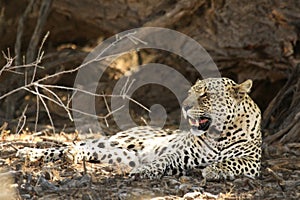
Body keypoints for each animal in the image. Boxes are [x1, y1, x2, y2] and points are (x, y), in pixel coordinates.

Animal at [16, 77, 262, 180]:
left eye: (205, 95)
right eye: (191, 92)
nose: (184, 106)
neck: (220, 134)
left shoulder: (253, 162)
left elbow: (233, 161)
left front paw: (213, 170)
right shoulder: (178, 153)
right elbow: (161, 160)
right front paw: (143, 171)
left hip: (115, 152)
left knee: (86, 150)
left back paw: (71, 155)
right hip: (116, 140)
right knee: (71, 144)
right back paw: (30, 152)